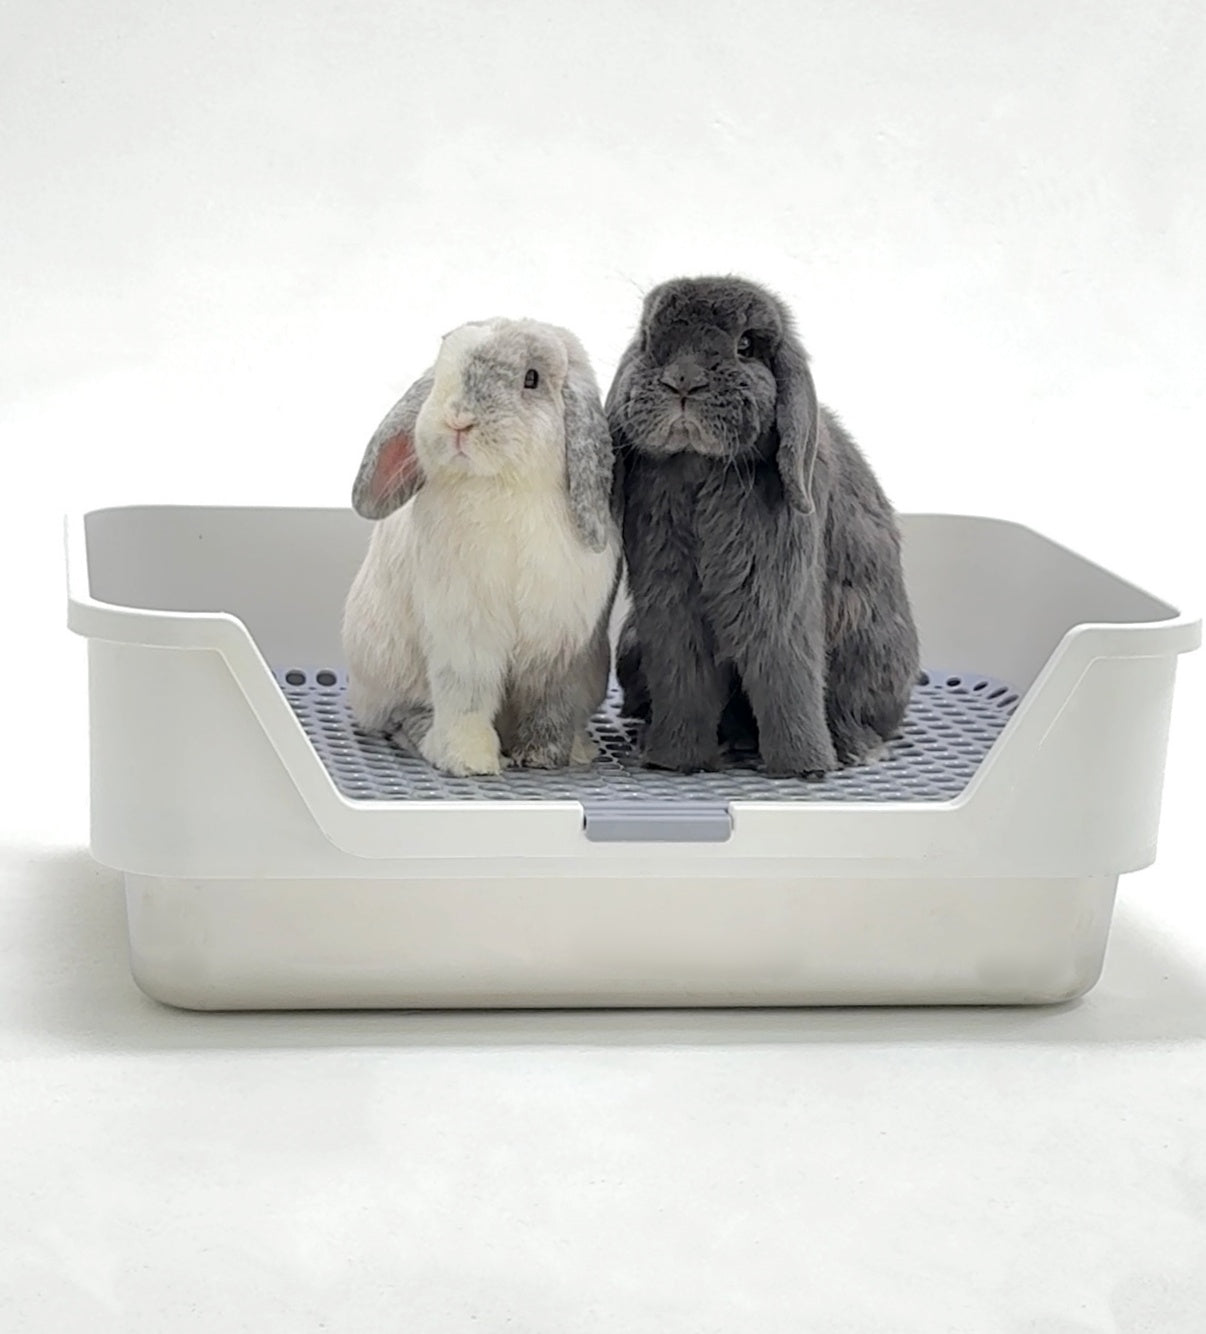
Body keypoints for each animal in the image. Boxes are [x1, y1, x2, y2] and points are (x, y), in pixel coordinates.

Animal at [343, 317, 620, 777]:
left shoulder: (564, 645)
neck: (503, 487)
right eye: (442, 368)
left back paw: (580, 748)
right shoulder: (464, 637)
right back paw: (429, 739)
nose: (458, 421)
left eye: (532, 378)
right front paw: (470, 761)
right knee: (401, 717)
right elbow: (466, 699)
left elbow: (552, 706)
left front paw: (544, 757)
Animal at [606, 275, 920, 777]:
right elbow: (683, 678)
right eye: (651, 341)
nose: (683, 380)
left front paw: (804, 766)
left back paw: (852, 748)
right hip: (632, 646)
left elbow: (785, 674)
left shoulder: (775, 597)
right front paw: (674, 760)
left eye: (747, 346)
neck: (700, 466)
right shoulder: (668, 604)